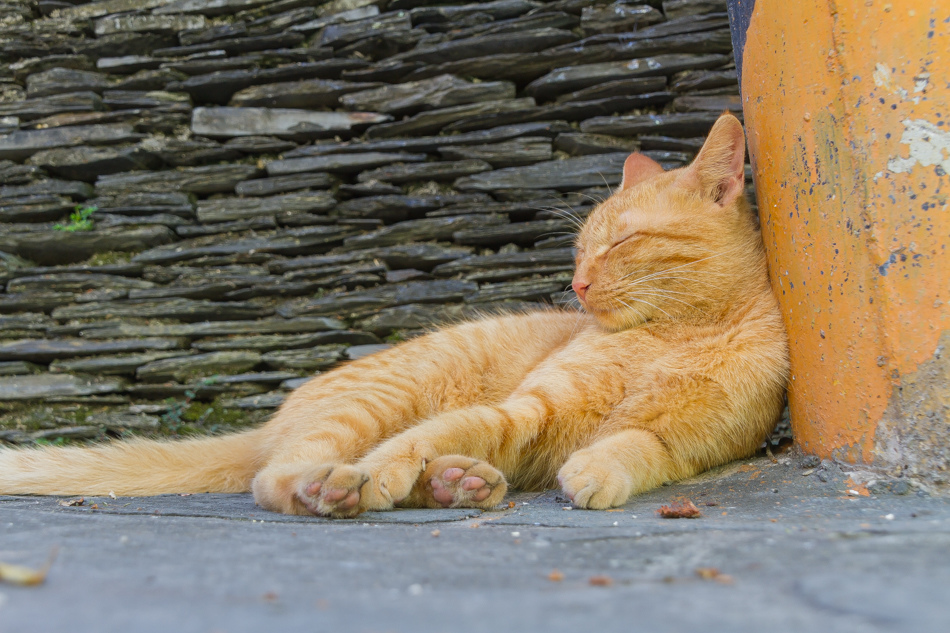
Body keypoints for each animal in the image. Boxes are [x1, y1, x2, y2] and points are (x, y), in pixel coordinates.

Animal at [0, 113, 788, 516]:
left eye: (619, 242)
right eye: (578, 247)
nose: (577, 283)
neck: (677, 332)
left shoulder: (690, 446)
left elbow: (636, 448)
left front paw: (598, 469)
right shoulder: (525, 408)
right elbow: (434, 433)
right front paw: (386, 472)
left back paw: (458, 484)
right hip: (378, 398)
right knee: (276, 474)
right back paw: (334, 488)